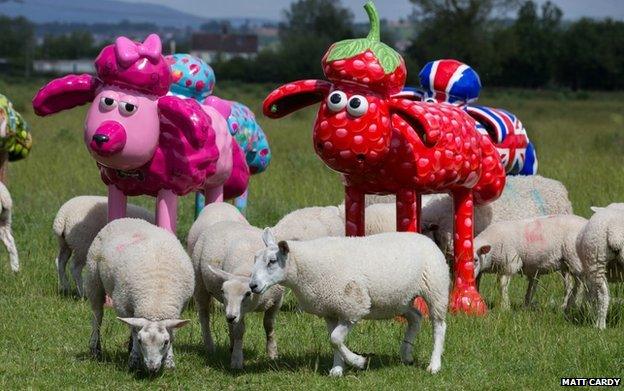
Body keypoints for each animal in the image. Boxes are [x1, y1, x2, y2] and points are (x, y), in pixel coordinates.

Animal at [84, 219, 193, 376]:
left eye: (165, 342)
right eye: (142, 341)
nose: (152, 368)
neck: (155, 301)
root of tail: (125, 219)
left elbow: (171, 333)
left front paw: (169, 363)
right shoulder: (124, 306)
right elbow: (134, 332)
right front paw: (134, 360)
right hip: (93, 278)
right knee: (97, 316)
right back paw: (95, 349)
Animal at [193, 222, 286, 370]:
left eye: (248, 293)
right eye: (222, 291)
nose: (231, 317)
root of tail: (222, 222)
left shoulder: (277, 301)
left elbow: (269, 325)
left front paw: (272, 354)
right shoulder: (236, 310)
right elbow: (239, 331)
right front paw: (237, 360)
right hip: (200, 283)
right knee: (204, 317)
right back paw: (210, 347)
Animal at [249, 230, 448, 376]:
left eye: (272, 261)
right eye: (255, 259)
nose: (252, 285)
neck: (303, 270)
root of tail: (424, 237)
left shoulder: (353, 307)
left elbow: (336, 338)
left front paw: (358, 361)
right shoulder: (330, 309)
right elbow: (333, 340)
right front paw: (337, 369)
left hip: (436, 287)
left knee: (439, 326)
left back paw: (434, 365)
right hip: (398, 299)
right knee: (416, 317)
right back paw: (406, 354)